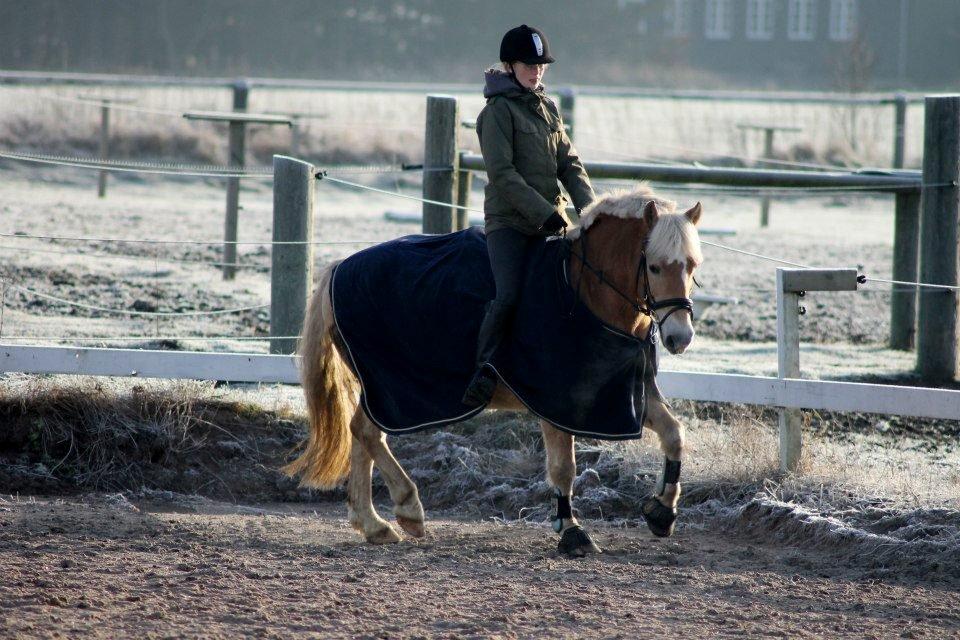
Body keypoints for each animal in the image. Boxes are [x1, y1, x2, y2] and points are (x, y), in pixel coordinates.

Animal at [284, 185, 704, 556]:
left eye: (692, 266)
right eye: (654, 266)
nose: (680, 337)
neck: (584, 292)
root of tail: (340, 267)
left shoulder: (623, 394)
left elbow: (674, 434)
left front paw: (662, 511)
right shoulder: (555, 401)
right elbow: (563, 469)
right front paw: (572, 532)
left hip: (378, 387)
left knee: (362, 433)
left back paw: (374, 525)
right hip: (390, 386)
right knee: (368, 432)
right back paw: (408, 509)